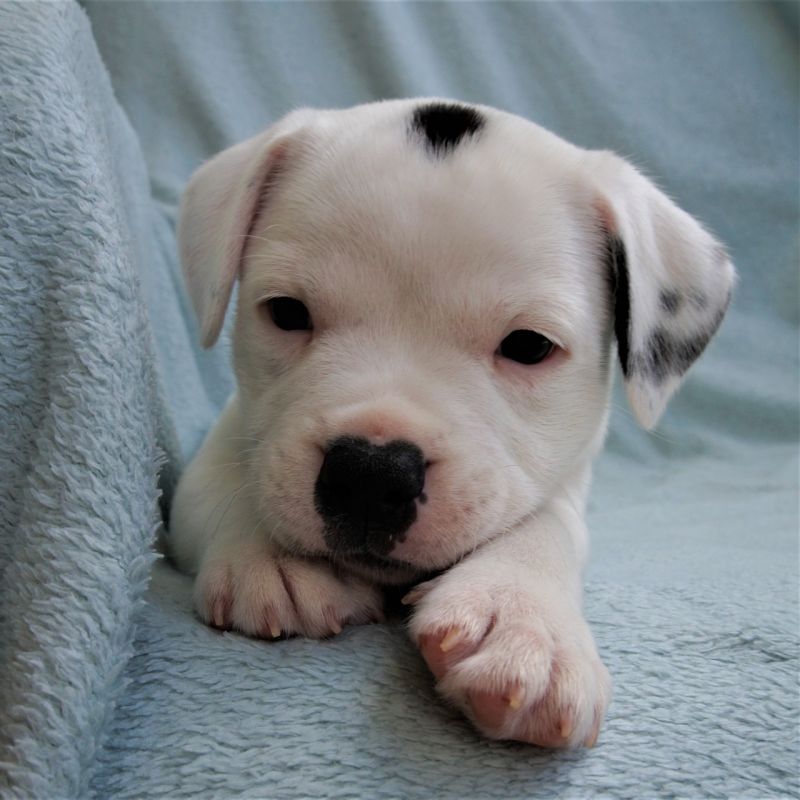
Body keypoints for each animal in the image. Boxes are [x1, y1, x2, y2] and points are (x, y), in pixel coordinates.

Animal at [169, 99, 734, 748]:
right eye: (286, 312)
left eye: (529, 346)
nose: (370, 473)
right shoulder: (219, 450)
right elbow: (228, 481)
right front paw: (270, 554)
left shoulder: (568, 488)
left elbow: (547, 524)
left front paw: (524, 617)